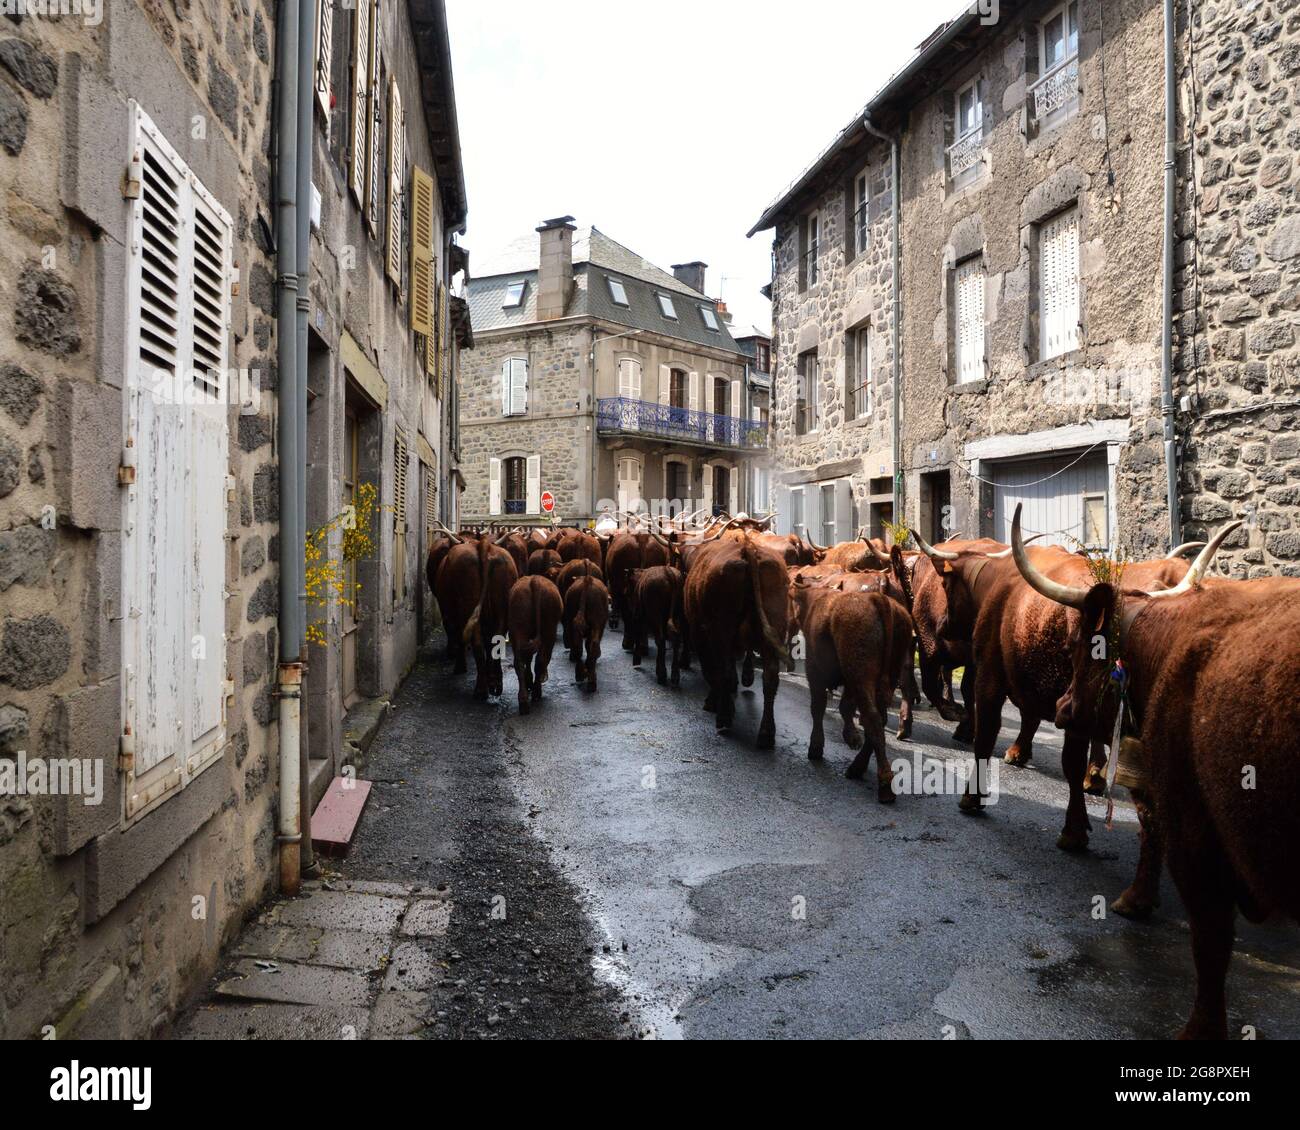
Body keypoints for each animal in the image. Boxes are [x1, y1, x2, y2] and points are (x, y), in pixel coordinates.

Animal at [504, 572, 561, 712]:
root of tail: (534, 581)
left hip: (517, 628)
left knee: (519, 661)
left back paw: (523, 701)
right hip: (549, 630)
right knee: (541, 659)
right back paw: (536, 692)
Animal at [686, 530, 785, 743]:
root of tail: (747, 548)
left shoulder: (700, 633)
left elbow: (712, 670)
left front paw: (713, 702)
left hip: (722, 627)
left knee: (721, 668)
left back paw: (724, 717)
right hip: (775, 629)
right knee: (770, 676)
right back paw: (766, 733)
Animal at [785, 577, 909, 795]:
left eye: (789, 598)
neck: (815, 598)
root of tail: (877, 598)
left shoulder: (815, 672)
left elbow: (818, 707)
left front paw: (816, 747)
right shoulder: (849, 682)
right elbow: (845, 707)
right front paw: (851, 736)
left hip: (861, 675)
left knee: (873, 718)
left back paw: (884, 784)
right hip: (884, 677)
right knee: (877, 719)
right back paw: (857, 767)